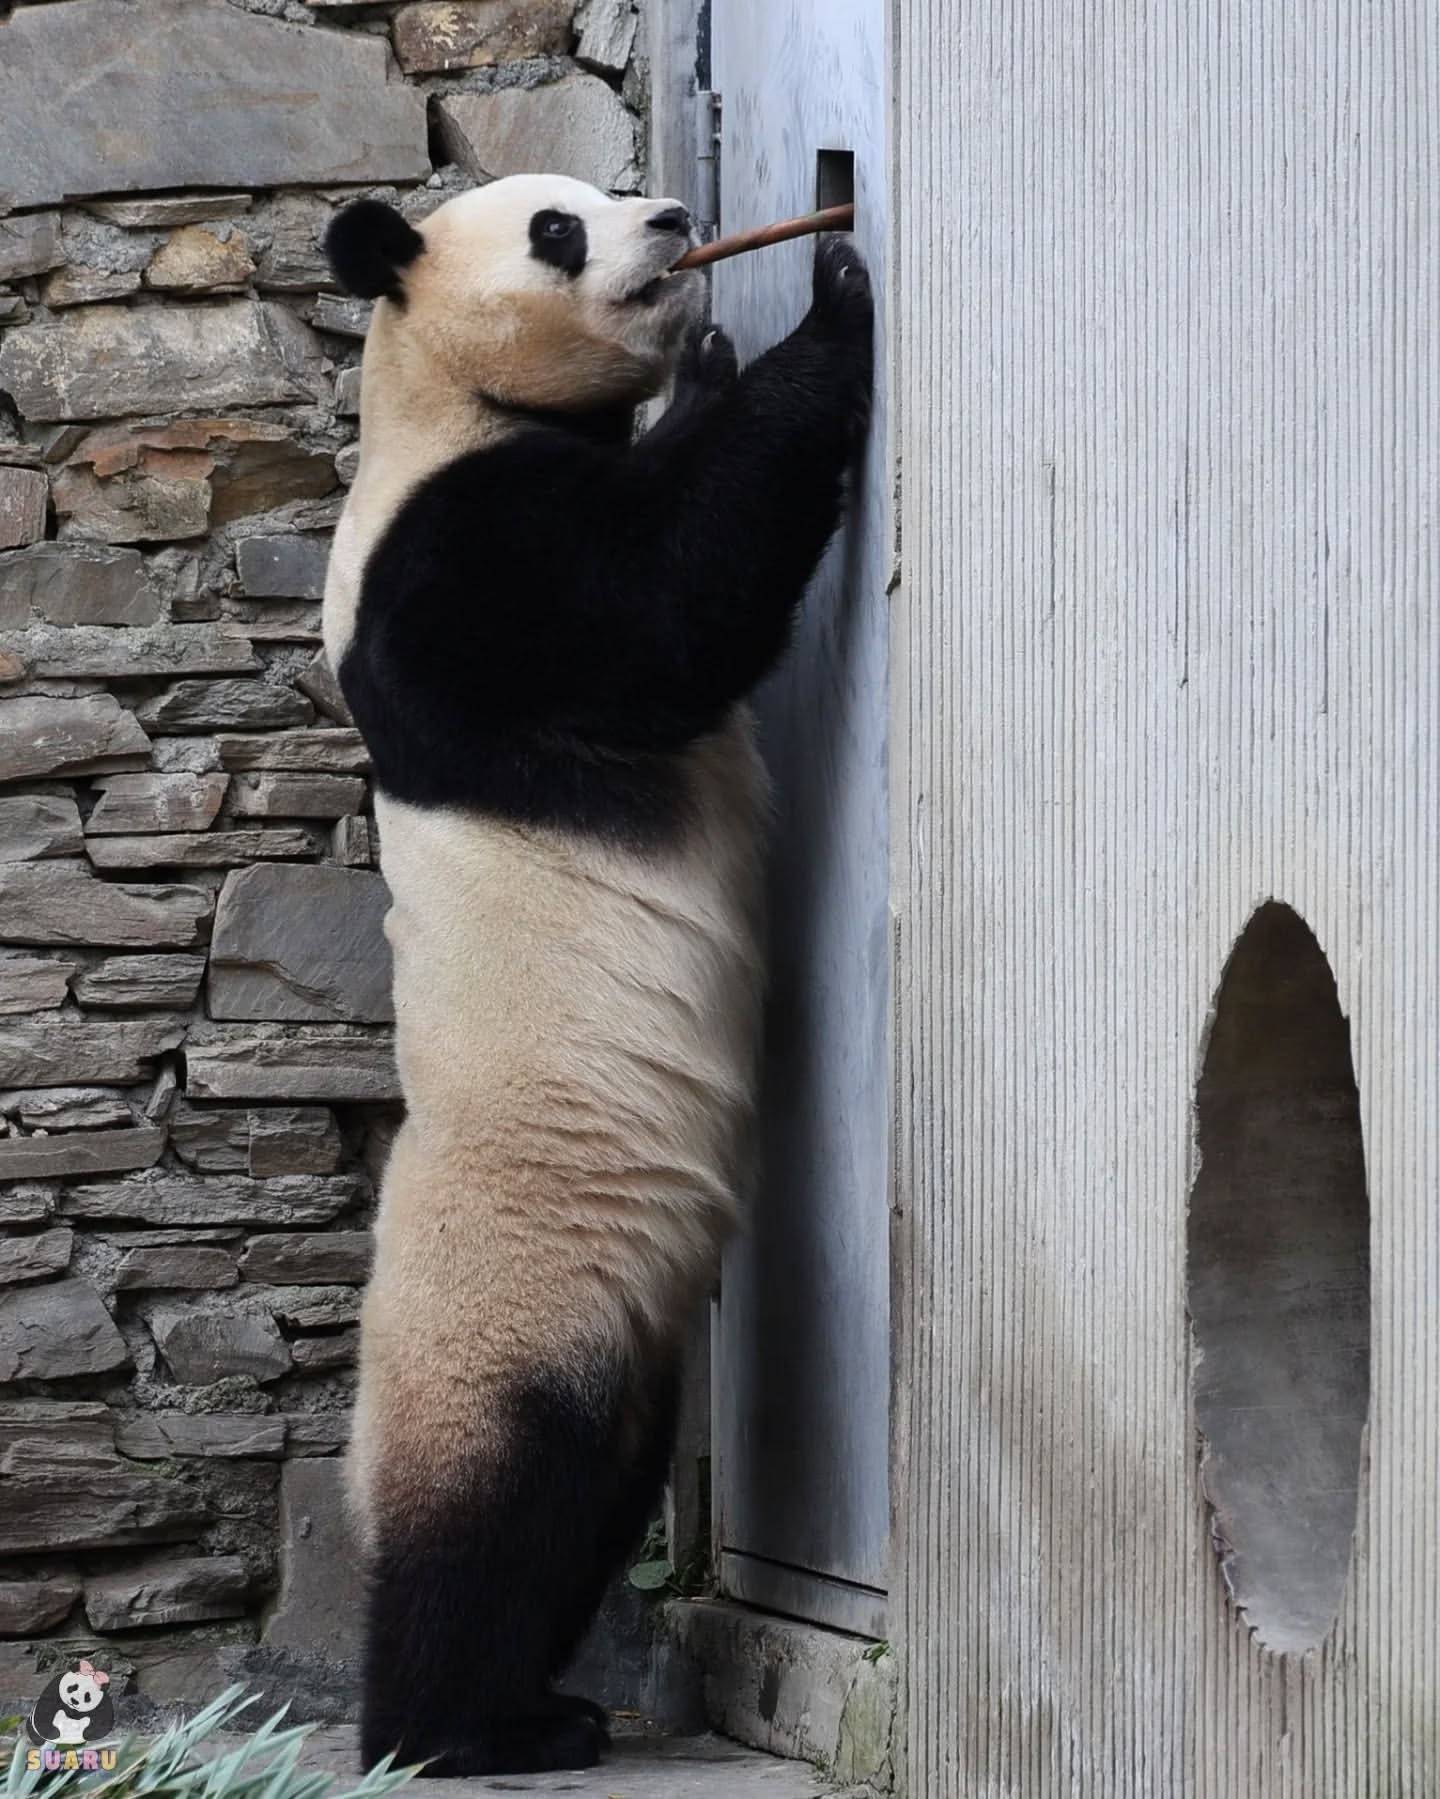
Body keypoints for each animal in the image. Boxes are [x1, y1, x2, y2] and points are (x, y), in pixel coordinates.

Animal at [320, 175, 871, 1777]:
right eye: (558, 228)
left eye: (604, 194)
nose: (679, 215)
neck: (436, 400)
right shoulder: (456, 573)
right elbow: (666, 607)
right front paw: (822, 305)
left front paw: (716, 352)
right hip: (511, 1303)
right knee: (487, 1519)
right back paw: (445, 1729)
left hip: (621, 1346)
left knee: (588, 1504)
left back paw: (537, 1704)